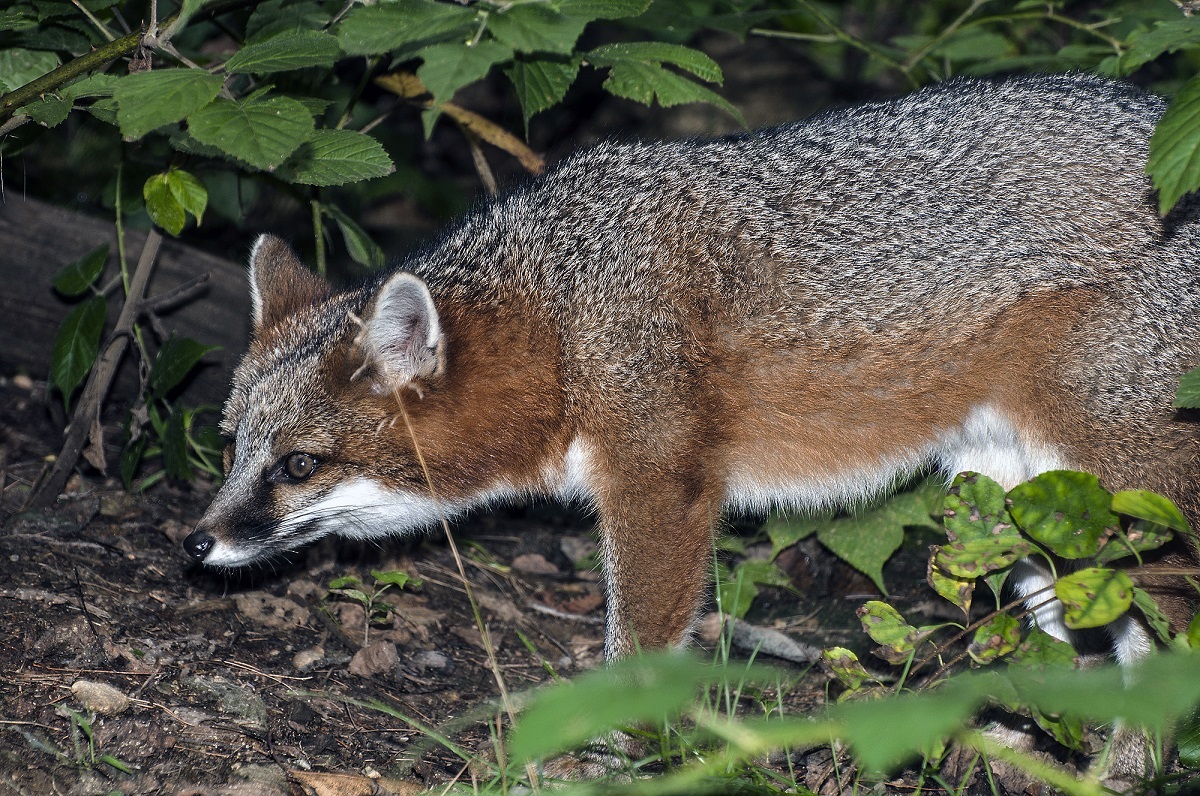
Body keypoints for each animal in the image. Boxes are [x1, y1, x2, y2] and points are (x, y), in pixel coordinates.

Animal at [184, 73, 1200, 777]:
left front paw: (612, 754)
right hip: (1024, 513)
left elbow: (635, 655)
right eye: (234, 447)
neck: (564, 316)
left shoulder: (662, 489)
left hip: (1126, 512)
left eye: (299, 465)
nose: (196, 544)